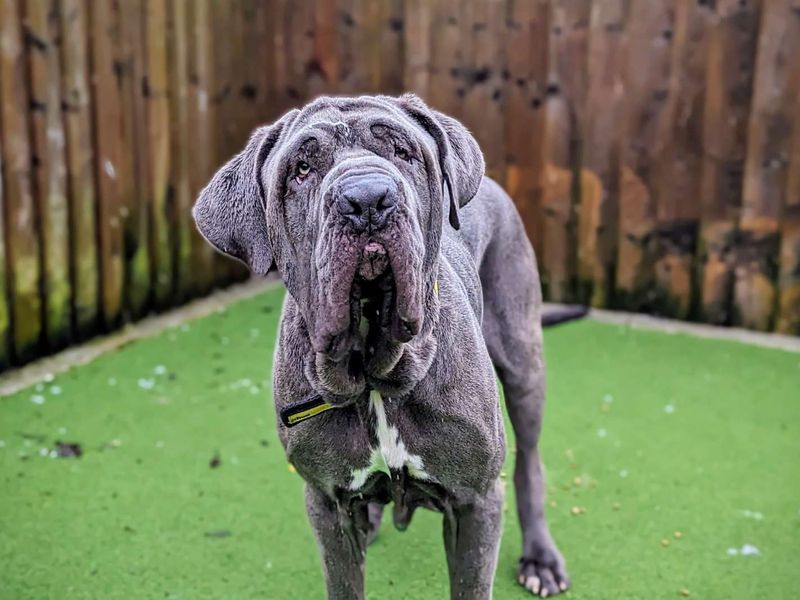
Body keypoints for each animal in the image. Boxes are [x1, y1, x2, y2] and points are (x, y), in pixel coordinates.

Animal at [191, 95, 572, 600]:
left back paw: (540, 558)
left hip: (523, 362)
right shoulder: (327, 505)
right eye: (301, 168)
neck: (375, 374)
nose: (367, 199)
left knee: (529, 458)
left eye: (403, 152)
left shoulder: (476, 502)